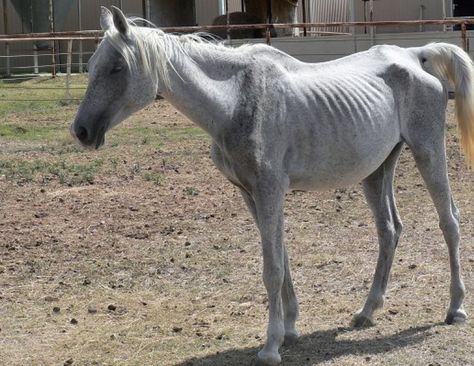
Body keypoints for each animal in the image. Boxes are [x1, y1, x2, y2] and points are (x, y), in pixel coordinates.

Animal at [71, 6, 474, 366]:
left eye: (118, 66)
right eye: (92, 66)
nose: (81, 131)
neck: (234, 101)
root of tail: (415, 55)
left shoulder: (270, 191)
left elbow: (272, 268)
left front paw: (270, 347)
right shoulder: (251, 194)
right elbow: (281, 258)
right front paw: (290, 328)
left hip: (428, 151)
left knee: (449, 222)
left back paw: (455, 307)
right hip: (378, 170)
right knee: (389, 230)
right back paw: (367, 311)